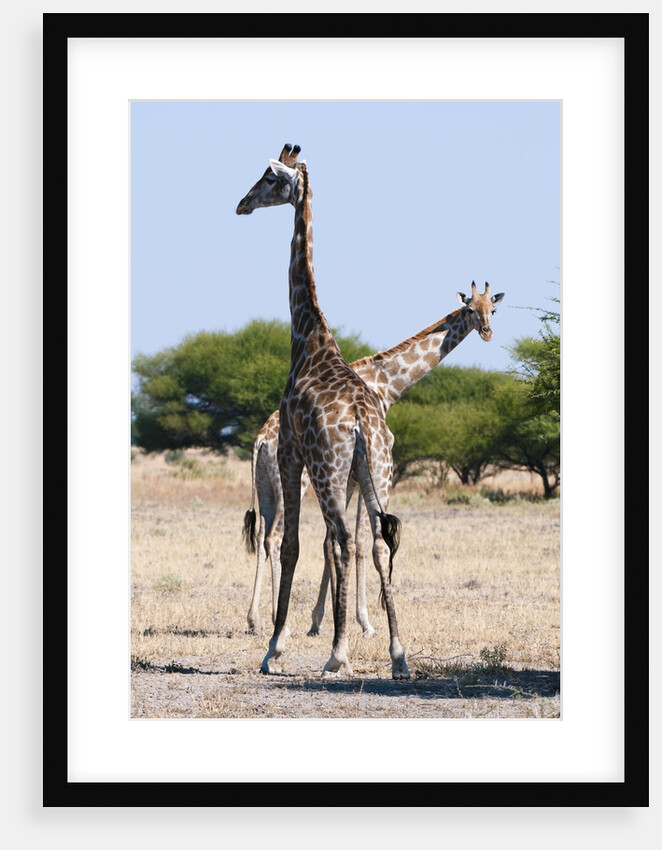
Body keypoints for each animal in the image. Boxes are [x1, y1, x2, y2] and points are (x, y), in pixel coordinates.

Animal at [236, 143, 410, 679]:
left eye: (269, 177)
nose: (241, 204)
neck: (307, 335)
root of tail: (362, 425)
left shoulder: (291, 452)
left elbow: (291, 544)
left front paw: (274, 648)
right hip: (377, 470)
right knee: (378, 540)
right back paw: (399, 655)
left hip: (332, 471)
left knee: (344, 540)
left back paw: (337, 654)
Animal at [242, 282, 505, 636]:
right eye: (470, 309)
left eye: (493, 309)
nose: (487, 332)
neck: (386, 386)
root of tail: (260, 440)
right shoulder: (365, 470)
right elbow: (360, 540)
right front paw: (362, 622)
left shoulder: (350, 478)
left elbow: (332, 542)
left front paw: (321, 619)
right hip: (292, 481)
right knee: (277, 535)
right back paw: (275, 620)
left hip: (266, 485)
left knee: (261, 535)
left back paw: (255, 619)